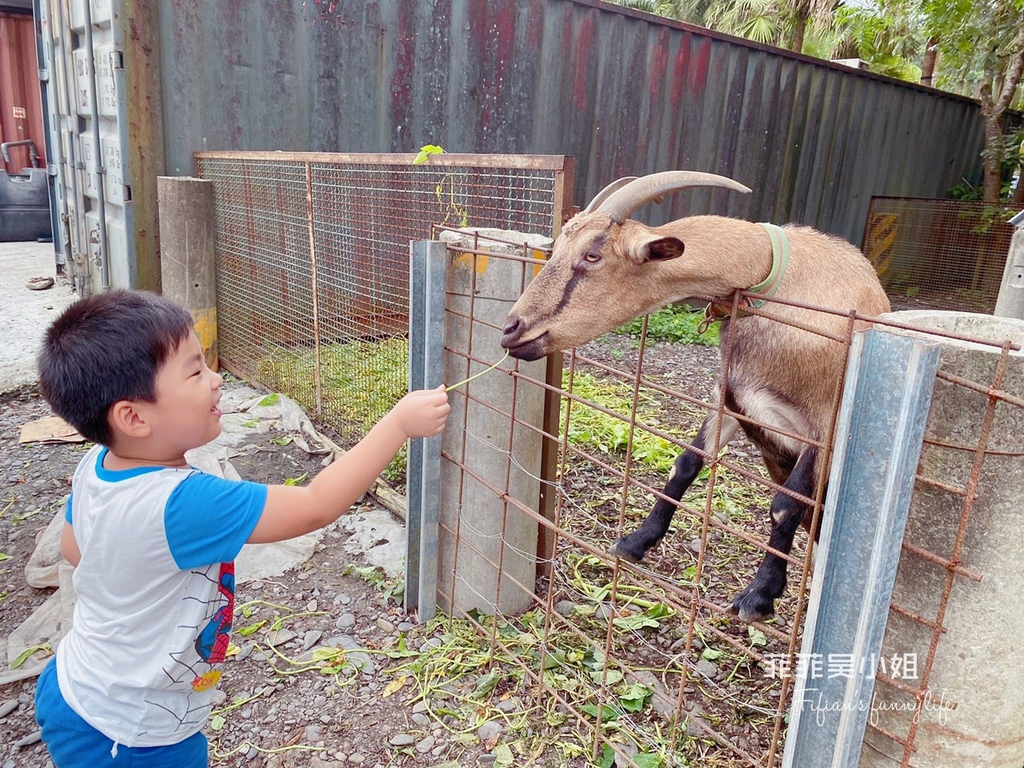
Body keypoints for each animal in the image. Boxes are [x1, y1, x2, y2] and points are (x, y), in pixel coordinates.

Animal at [499, 171, 892, 622]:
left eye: (593, 255)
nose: (511, 330)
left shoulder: (825, 426)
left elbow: (785, 503)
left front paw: (759, 595)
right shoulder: (730, 401)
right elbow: (686, 464)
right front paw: (635, 542)